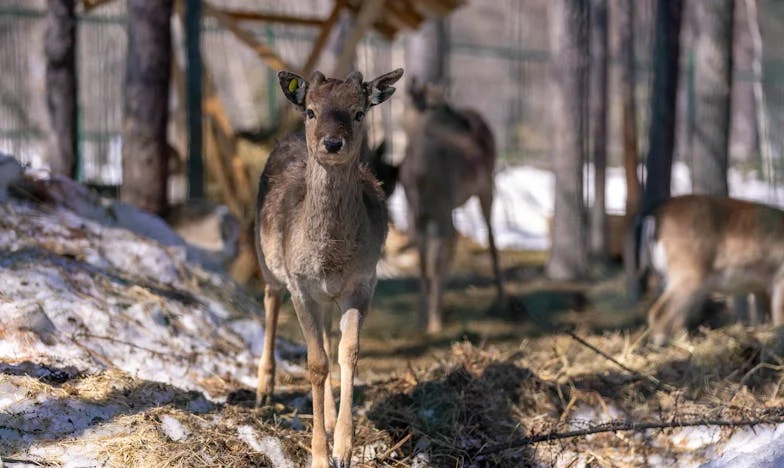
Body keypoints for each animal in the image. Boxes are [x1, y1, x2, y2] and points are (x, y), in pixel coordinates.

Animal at [254, 66, 404, 468]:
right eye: (311, 110)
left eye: (358, 112)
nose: (333, 143)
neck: (330, 258)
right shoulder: (301, 286)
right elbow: (315, 364)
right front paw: (320, 455)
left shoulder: (363, 283)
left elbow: (346, 353)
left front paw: (343, 449)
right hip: (268, 261)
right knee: (270, 300)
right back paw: (263, 390)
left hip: (326, 298)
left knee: (325, 338)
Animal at [398, 77, 508, 332]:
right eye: (434, 107)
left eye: (447, 104)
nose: (466, 125)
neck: (422, 180)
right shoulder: (418, 216)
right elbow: (423, 264)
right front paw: (423, 320)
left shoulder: (442, 211)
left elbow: (436, 263)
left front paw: (435, 323)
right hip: (455, 205)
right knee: (456, 237)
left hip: (486, 186)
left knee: (490, 237)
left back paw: (501, 301)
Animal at [624, 192, 784, 346]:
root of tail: (653, 215)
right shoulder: (779, 279)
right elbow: (779, 318)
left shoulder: (762, 287)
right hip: (688, 274)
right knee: (659, 312)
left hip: (665, 276)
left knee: (674, 316)